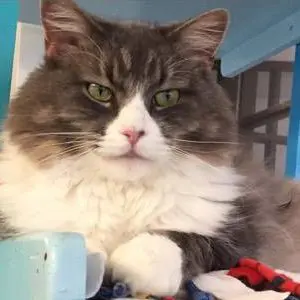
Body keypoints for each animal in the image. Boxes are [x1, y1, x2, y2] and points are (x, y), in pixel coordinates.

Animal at [1, 0, 300, 298]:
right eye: (99, 91)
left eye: (166, 96)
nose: (133, 132)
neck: (123, 193)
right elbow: (80, 238)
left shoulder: (247, 228)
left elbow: (182, 243)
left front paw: (127, 260)